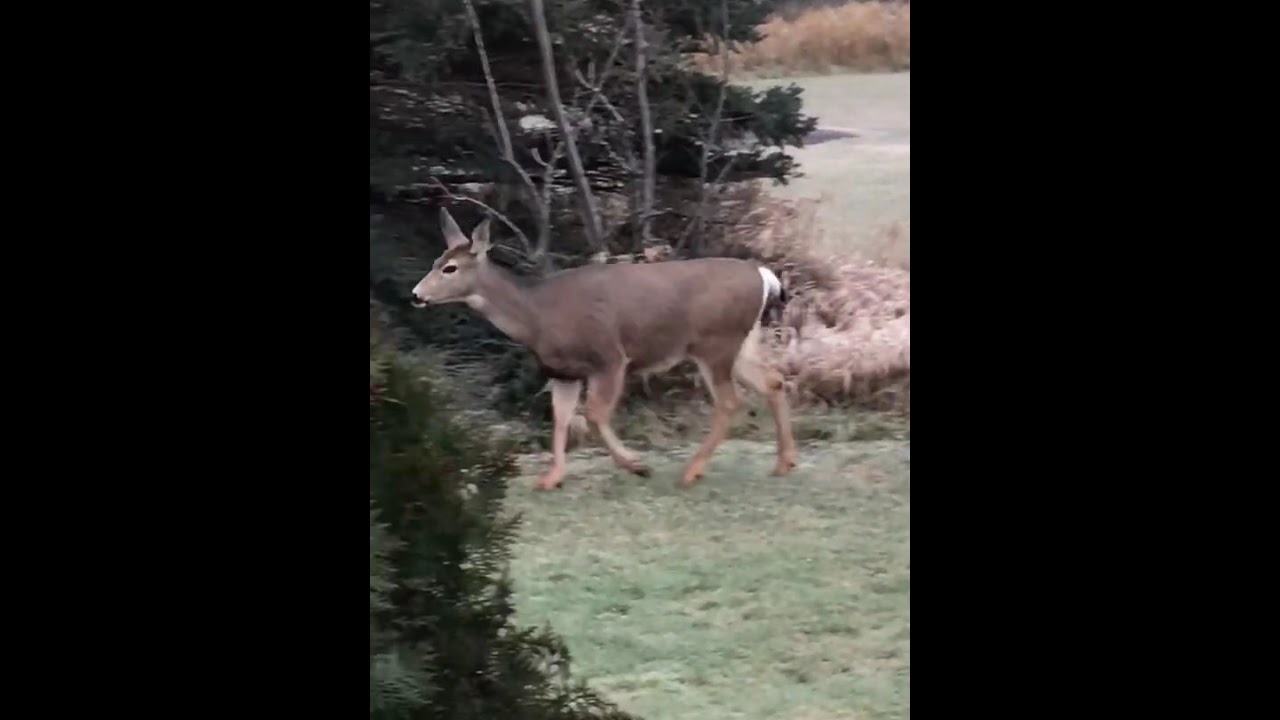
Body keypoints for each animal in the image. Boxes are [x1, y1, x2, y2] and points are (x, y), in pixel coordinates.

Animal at [411, 208, 798, 491]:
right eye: (435, 262)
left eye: (450, 267)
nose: (416, 295)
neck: (537, 315)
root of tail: (763, 275)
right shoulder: (563, 372)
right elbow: (562, 419)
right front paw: (551, 478)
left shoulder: (609, 357)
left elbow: (595, 416)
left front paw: (637, 464)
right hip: (741, 342)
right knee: (773, 381)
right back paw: (783, 463)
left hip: (714, 343)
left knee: (730, 401)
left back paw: (692, 472)